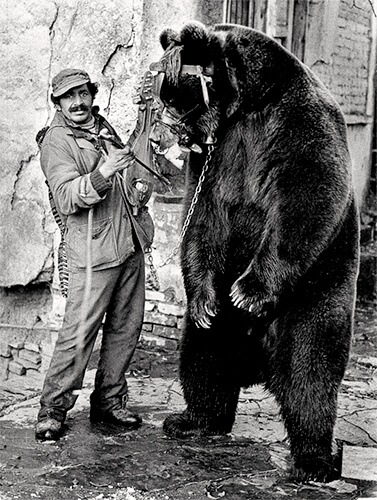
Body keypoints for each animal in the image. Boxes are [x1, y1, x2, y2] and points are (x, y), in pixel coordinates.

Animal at [148, 21, 360, 482]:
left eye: (175, 98)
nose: (172, 135)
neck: (248, 102)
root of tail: (258, 360)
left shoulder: (297, 120)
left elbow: (310, 190)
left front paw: (249, 291)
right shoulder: (219, 156)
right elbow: (204, 216)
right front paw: (205, 301)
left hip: (314, 295)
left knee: (309, 371)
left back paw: (314, 460)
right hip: (221, 322)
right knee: (203, 355)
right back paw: (193, 419)